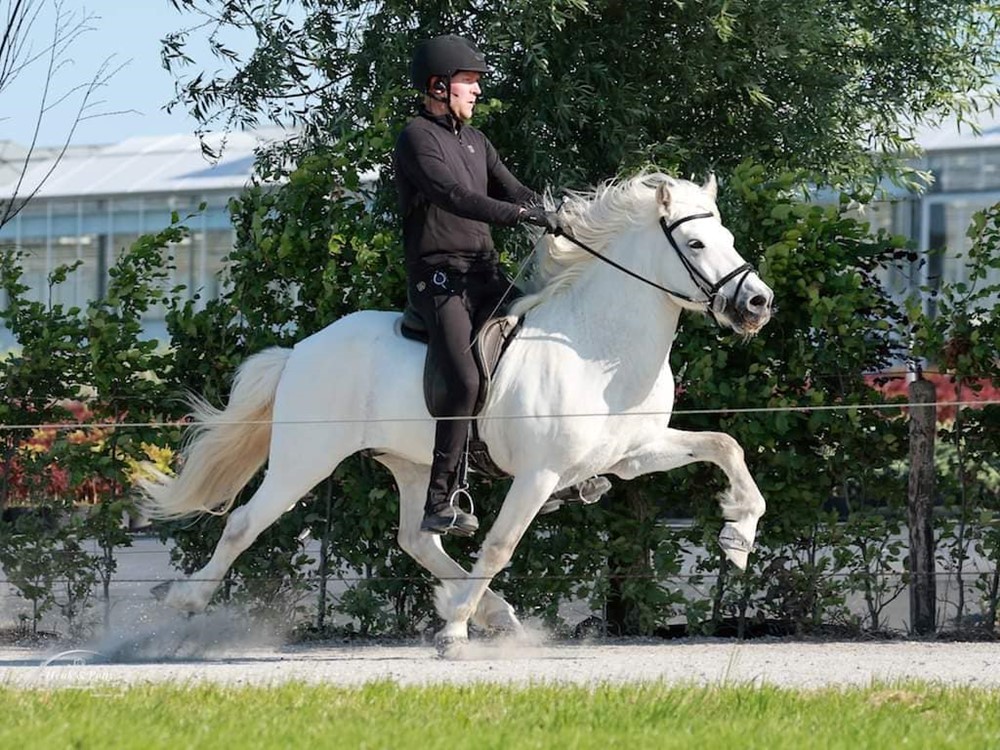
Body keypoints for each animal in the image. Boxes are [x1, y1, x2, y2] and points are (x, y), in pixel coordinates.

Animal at [141, 173, 772, 656]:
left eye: (727, 236)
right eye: (696, 244)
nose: (757, 303)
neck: (598, 348)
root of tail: (301, 350)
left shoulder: (633, 455)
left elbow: (726, 446)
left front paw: (738, 535)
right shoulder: (539, 475)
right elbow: (499, 545)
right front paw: (452, 633)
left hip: (415, 464)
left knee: (417, 539)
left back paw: (492, 611)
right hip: (305, 460)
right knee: (244, 523)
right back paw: (184, 604)